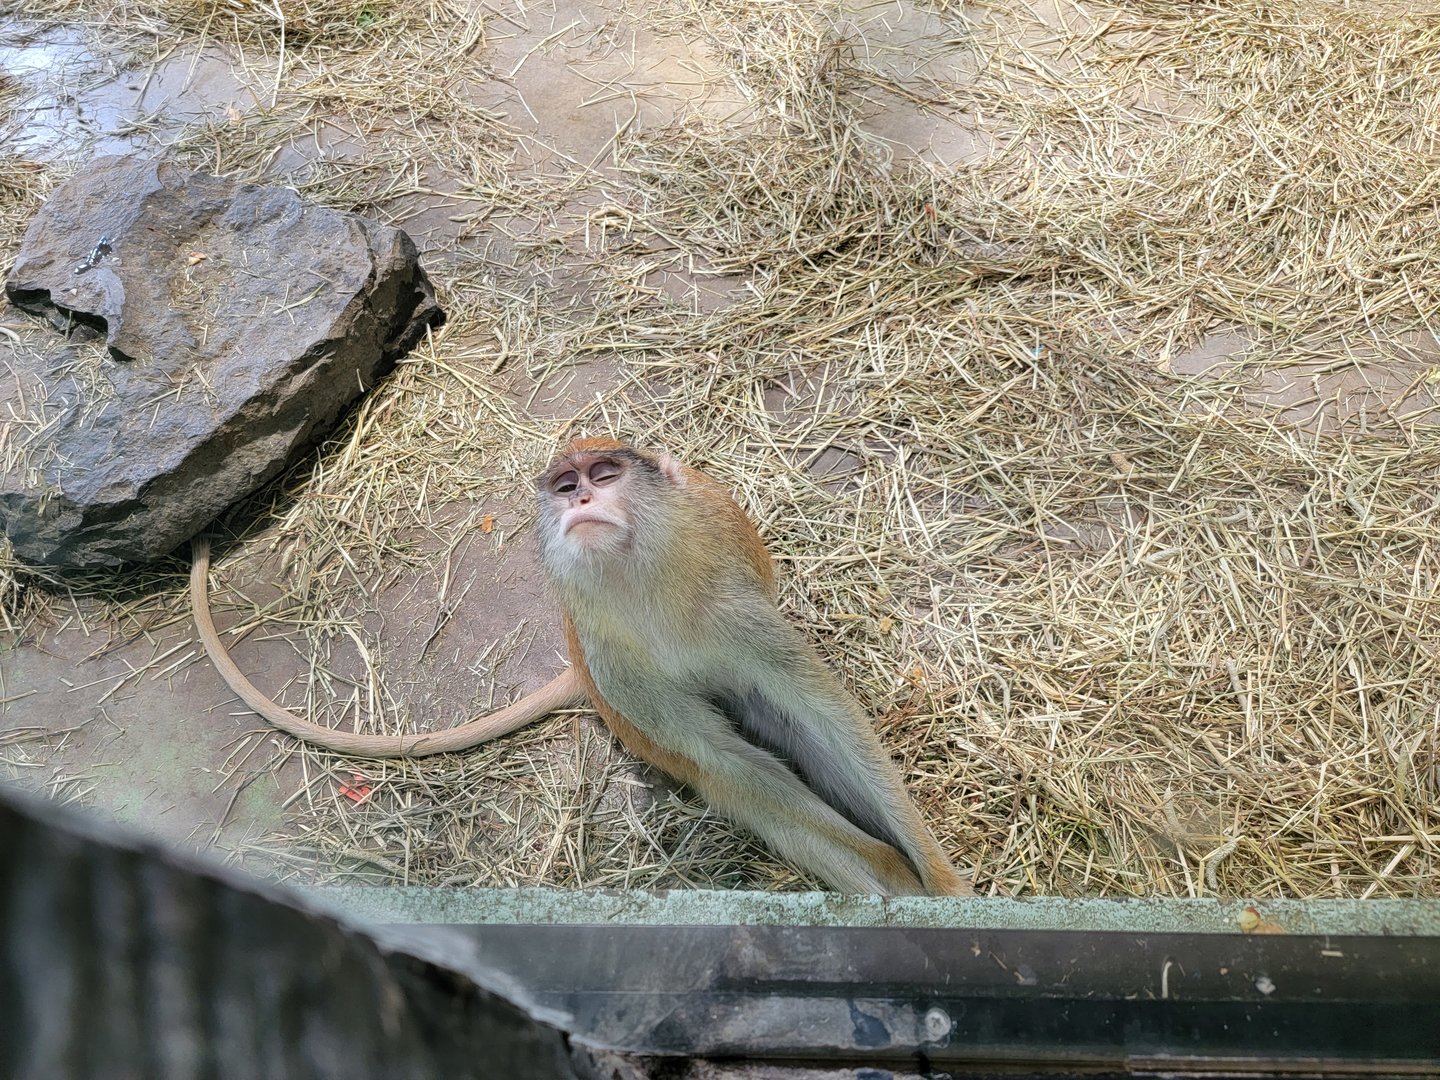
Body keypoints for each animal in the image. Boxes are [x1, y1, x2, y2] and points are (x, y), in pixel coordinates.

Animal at [191, 438, 974, 896]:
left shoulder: (736, 611)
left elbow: (823, 714)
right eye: (565, 488)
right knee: (742, 786)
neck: (637, 583)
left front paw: (939, 882)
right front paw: (895, 876)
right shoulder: (614, 659)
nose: (586, 499)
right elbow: (728, 761)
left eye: (602, 474)